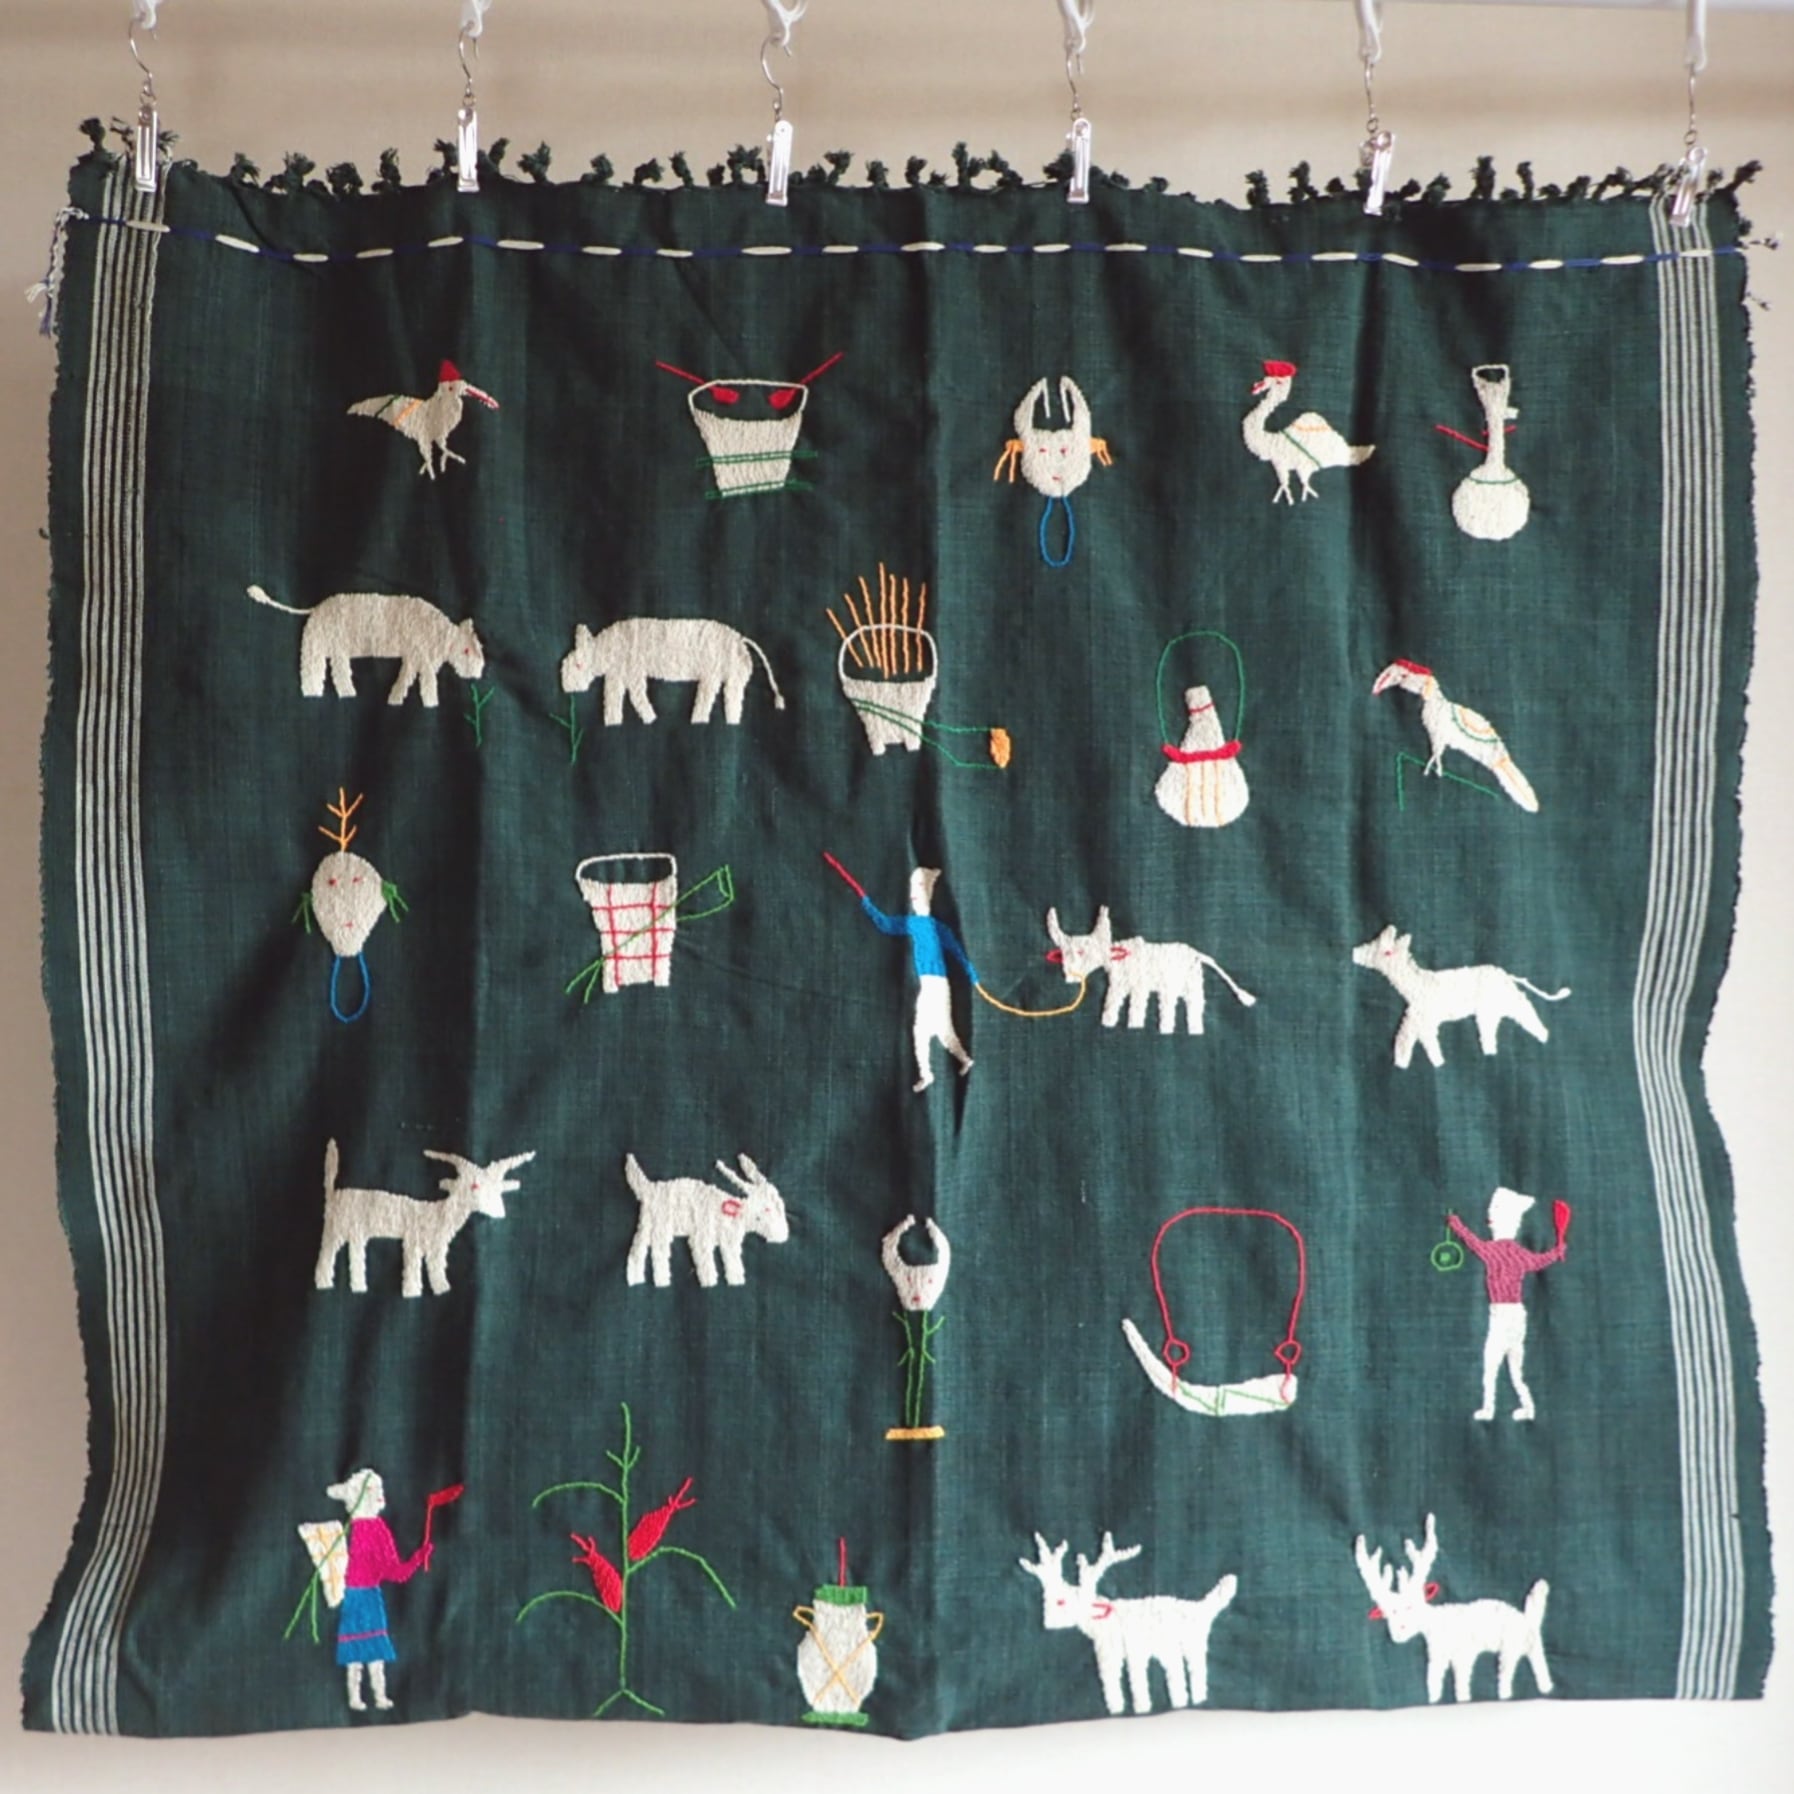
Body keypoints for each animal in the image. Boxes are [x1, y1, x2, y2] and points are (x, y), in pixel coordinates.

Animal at [314, 1140, 536, 1297]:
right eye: (474, 1186)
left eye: (498, 1188)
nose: (499, 1212)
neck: (438, 1214)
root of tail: (333, 1193)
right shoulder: (413, 1240)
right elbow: (412, 1267)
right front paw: (412, 1291)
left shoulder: (436, 1247)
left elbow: (436, 1268)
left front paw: (441, 1288)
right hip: (337, 1227)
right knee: (328, 1253)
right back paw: (326, 1281)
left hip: (355, 1232)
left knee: (354, 1254)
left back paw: (354, 1285)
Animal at [1017, 1532, 1238, 1715]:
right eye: (1046, 1598)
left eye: (1061, 1601)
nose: (1047, 1622)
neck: (1105, 1619)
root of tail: (1199, 1607)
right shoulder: (1108, 1653)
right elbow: (1110, 1680)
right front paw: (1116, 1707)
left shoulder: (1133, 1649)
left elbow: (1137, 1679)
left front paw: (1141, 1707)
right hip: (1168, 1648)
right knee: (1177, 1672)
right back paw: (1182, 1701)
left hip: (1191, 1644)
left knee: (1194, 1671)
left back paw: (1194, 1699)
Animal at [1354, 1512, 1552, 1704]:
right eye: (1386, 1614)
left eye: (1411, 1606)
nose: (1397, 1634)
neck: (1435, 1623)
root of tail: (1528, 1618)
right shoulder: (1437, 1656)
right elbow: (1433, 1683)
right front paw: (1433, 1701)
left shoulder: (1463, 1654)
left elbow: (1461, 1685)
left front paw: (1462, 1700)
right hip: (1529, 1646)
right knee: (1538, 1663)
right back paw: (1546, 1687)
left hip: (1510, 1649)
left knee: (1506, 1675)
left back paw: (1508, 1695)